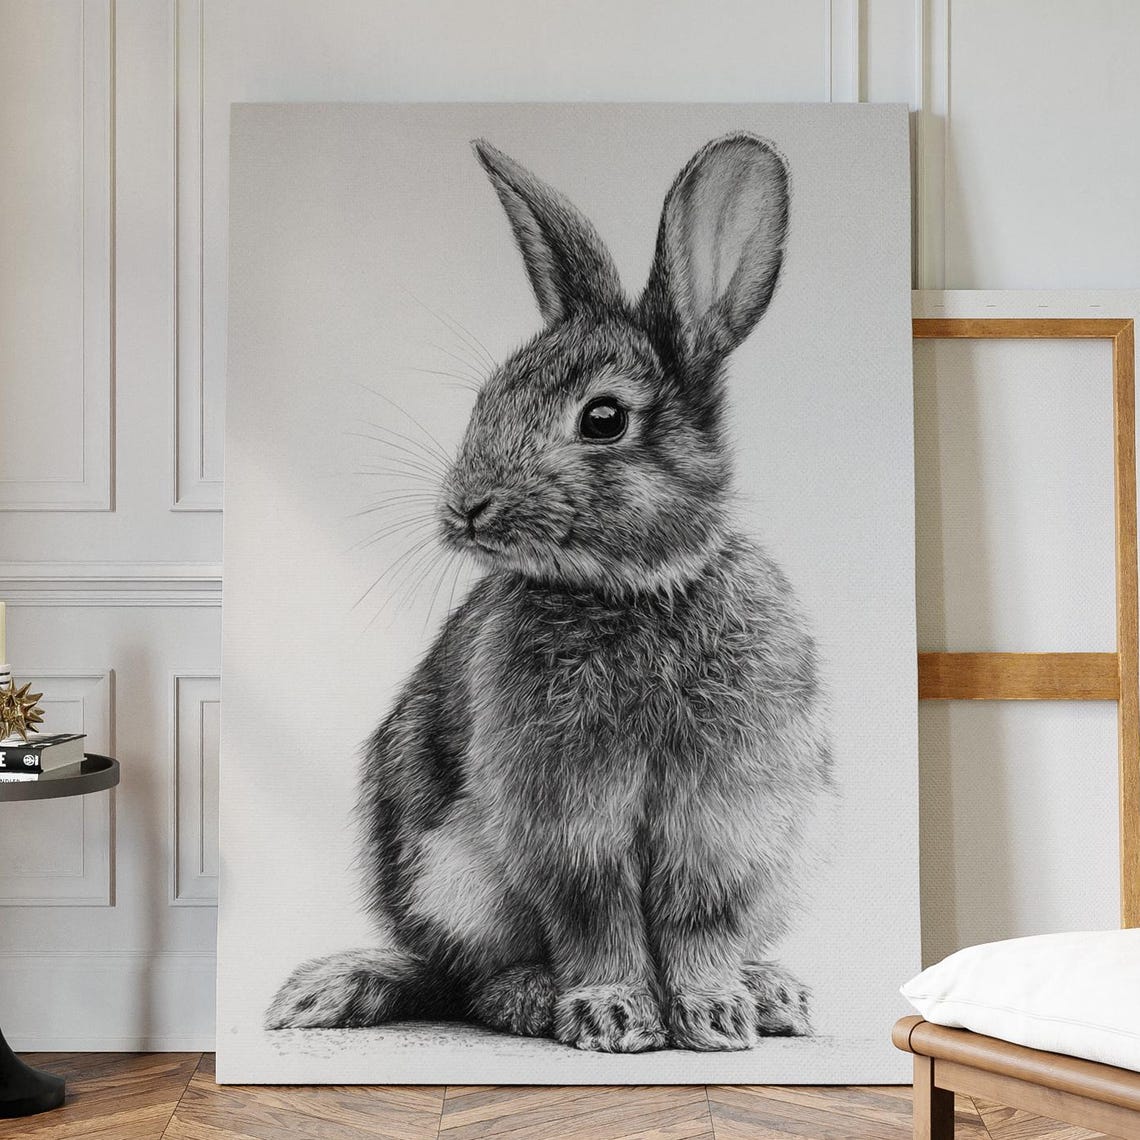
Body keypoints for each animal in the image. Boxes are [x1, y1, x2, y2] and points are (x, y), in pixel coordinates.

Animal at [266, 131, 831, 1053]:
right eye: (489, 396)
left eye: (603, 418)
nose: (465, 507)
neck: (633, 590)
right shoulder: (565, 821)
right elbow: (597, 917)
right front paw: (616, 1013)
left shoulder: (727, 818)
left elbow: (700, 923)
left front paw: (714, 1014)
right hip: (454, 884)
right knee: (471, 981)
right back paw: (535, 997)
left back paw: (773, 993)